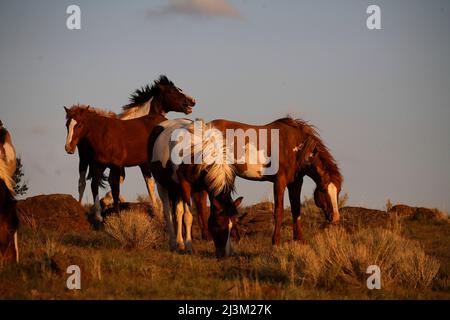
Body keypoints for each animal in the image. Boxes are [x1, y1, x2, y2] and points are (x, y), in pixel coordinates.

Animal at [149, 118, 243, 258]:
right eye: (218, 224)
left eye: (233, 224)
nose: (225, 255)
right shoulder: (185, 187)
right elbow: (188, 217)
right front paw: (189, 247)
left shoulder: (201, 188)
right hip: (162, 185)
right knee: (168, 213)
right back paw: (173, 243)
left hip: (177, 189)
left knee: (177, 212)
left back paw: (179, 243)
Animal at [195, 117, 342, 245]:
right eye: (323, 189)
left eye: (339, 190)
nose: (335, 217)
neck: (295, 148)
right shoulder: (279, 182)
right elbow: (279, 211)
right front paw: (276, 241)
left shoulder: (296, 183)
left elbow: (296, 210)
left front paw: (299, 240)